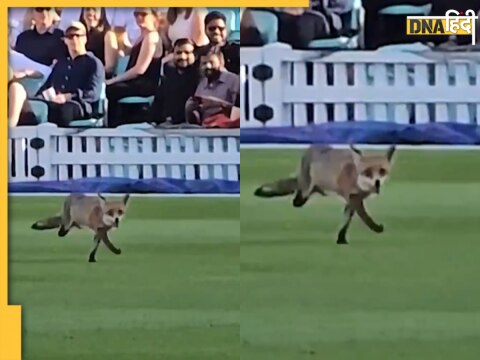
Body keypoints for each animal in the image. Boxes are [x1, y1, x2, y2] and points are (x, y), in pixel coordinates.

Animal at [253, 144, 396, 245]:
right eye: (367, 172)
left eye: (382, 171)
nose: (377, 183)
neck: (356, 179)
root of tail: (310, 148)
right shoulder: (353, 197)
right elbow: (366, 218)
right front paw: (376, 228)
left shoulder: (352, 201)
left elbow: (345, 222)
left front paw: (341, 239)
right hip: (305, 190)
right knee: (296, 197)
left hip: (310, 188)